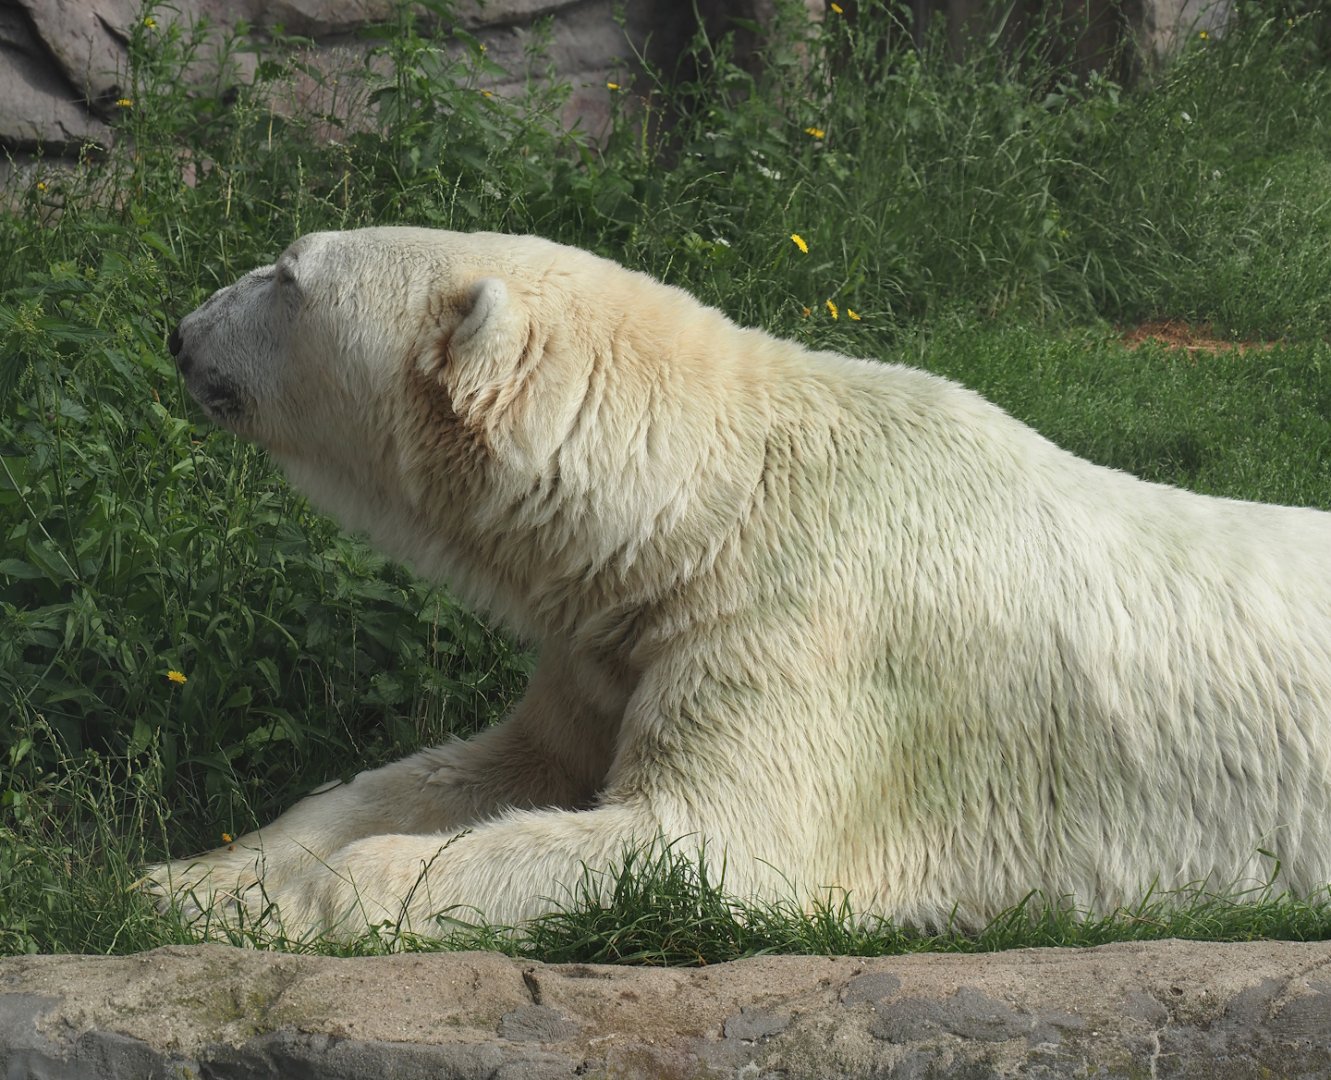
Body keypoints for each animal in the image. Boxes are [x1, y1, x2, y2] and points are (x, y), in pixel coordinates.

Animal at [153, 226, 1331, 941]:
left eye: (288, 274)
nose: (179, 330)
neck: (708, 509)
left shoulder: (808, 635)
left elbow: (694, 844)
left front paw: (262, 905)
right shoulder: (613, 636)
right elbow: (488, 766)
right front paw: (196, 873)